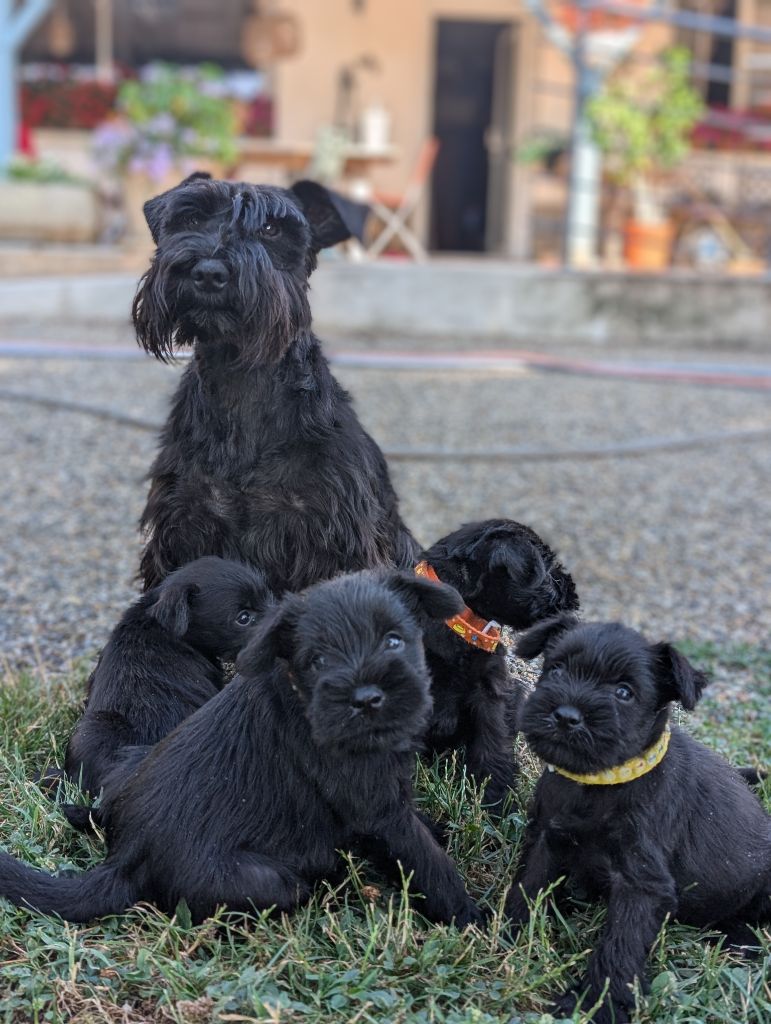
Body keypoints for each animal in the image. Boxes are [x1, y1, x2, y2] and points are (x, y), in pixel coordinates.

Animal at [415, 520, 577, 806]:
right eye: (548, 570)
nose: (572, 589)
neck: (462, 624)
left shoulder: (490, 693)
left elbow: (492, 749)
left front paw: (495, 803)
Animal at [505, 610, 769, 1024]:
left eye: (624, 692)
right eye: (557, 669)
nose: (566, 716)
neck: (602, 782)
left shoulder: (641, 882)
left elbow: (620, 946)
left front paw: (597, 1003)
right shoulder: (548, 837)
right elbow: (529, 885)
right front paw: (508, 933)